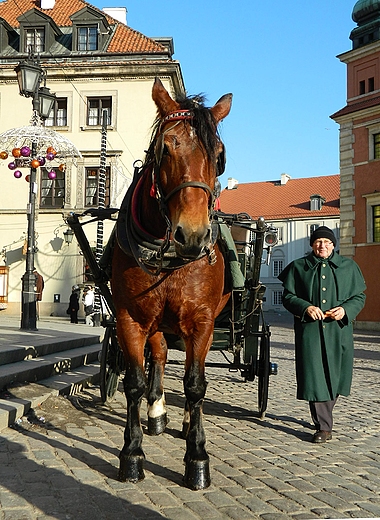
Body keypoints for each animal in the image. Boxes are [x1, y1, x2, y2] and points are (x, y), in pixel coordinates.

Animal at [111, 76, 233, 488]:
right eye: (165, 147)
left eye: (220, 156)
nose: (192, 235)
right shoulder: (130, 318)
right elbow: (134, 381)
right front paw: (132, 453)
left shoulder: (201, 321)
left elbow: (195, 385)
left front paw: (197, 457)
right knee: (161, 355)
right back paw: (158, 412)